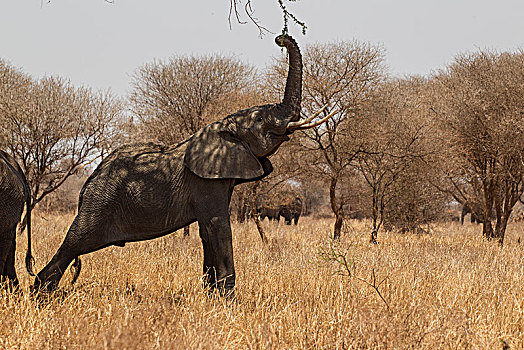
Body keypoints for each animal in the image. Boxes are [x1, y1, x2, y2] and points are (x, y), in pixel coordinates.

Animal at [33, 34, 336, 296]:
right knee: (75, 243)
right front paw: (228, 301)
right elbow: (218, 226)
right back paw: (41, 296)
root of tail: (88, 182)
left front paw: (212, 296)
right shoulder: (205, 182)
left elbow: (206, 232)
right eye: (260, 119)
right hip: (99, 204)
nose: (279, 39)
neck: (224, 126)